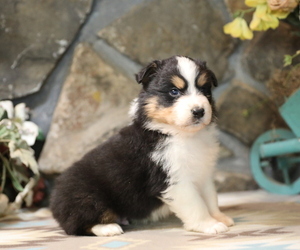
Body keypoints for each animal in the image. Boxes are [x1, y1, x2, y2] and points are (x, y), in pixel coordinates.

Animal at [50, 55, 234, 236]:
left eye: (204, 90)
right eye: (174, 91)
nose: (199, 111)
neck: (181, 135)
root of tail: (54, 199)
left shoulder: (203, 171)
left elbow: (210, 198)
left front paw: (220, 218)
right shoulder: (172, 178)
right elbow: (196, 204)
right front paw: (209, 225)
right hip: (86, 197)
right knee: (76, 225)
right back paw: (109, 228)